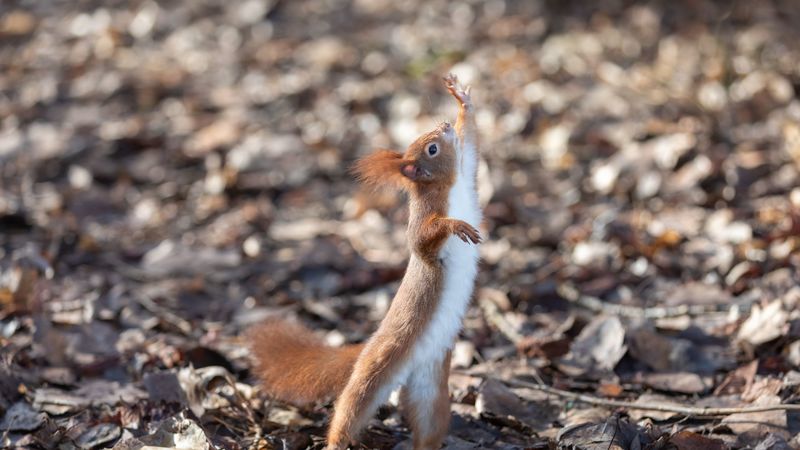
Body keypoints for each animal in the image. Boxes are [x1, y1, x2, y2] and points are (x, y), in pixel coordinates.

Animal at [246, 74, 482, 450]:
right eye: (431, 149)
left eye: (435, 139)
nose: (445, 126)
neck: (449, 187)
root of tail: (366, 349)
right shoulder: (424, 220)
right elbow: (423, 240)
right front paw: (455, 225)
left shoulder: (468, 173)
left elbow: (471, 144)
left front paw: (462, 99)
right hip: (374, 374)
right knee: (349, 408)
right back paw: (333, 442)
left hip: (430, 388)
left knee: (429, 424)